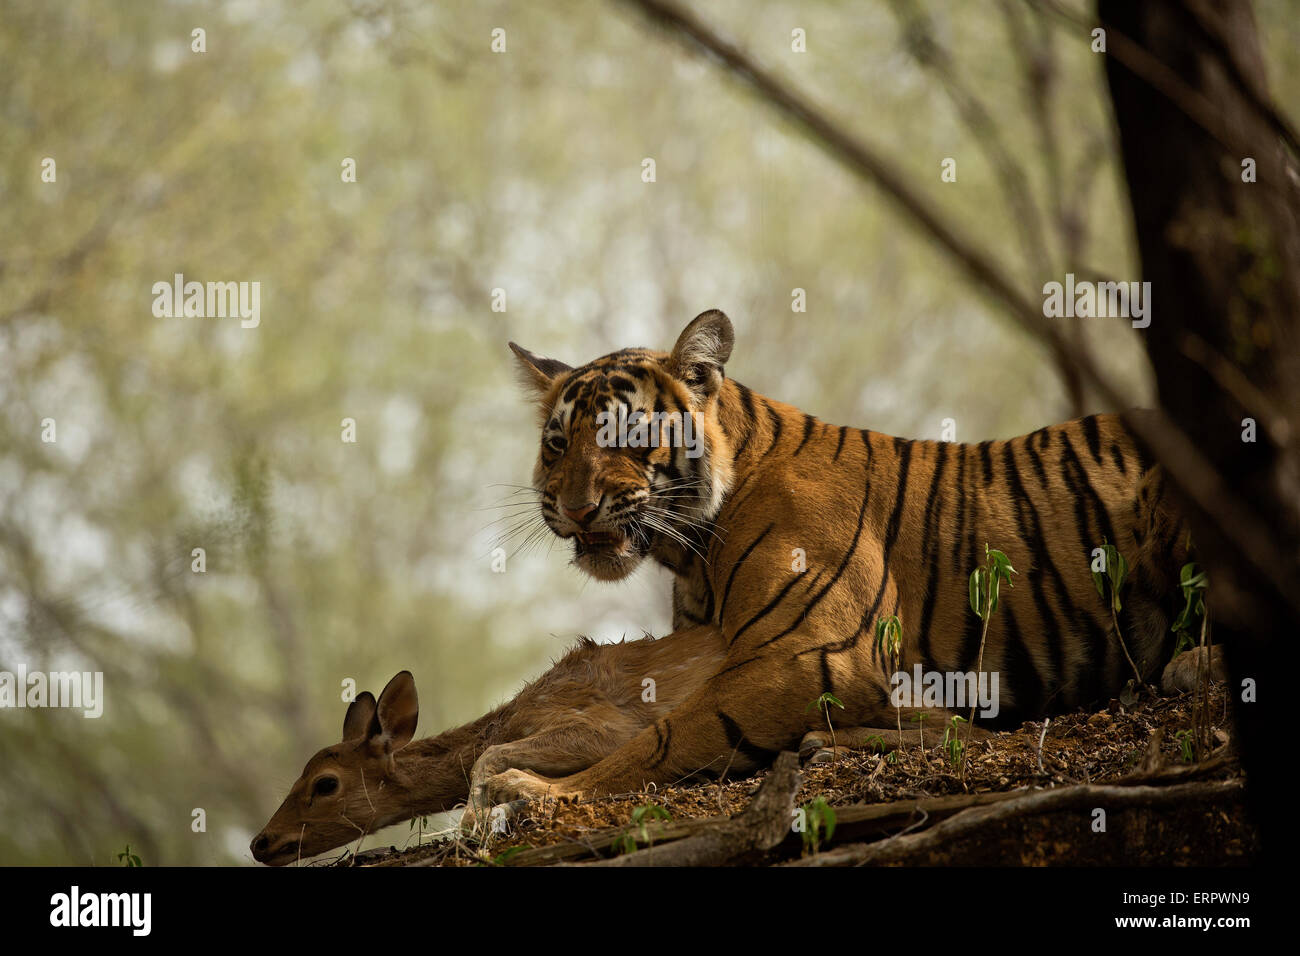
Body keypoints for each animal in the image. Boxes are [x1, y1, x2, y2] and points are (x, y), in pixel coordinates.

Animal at [246, 624, 728, 863]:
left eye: (325, 783)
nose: (260, 843)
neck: (510, 719)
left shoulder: (607, 723)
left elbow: (488, 757)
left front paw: (471, 825)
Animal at [486, 310, 1190, 806]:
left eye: (623, 433)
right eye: (556, 444)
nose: (576, 508)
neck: (690, 554)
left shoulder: (805, 656)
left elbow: (660, 741)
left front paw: (535, 790)